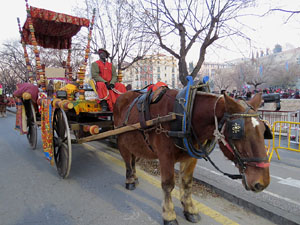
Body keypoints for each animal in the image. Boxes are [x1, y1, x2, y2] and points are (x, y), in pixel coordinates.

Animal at [113, 89, 270, 225]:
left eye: (264, 130)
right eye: (238, 132)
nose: (262, 182)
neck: (184, 117)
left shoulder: (190, 157)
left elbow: (187, 183)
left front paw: (189, 209)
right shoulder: (165, 157)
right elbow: (168, 185)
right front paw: (169, 215)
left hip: (135, 144)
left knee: (133, 160)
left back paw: (134, 177)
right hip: (122, 141)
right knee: (128, 162)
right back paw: (130, 180)